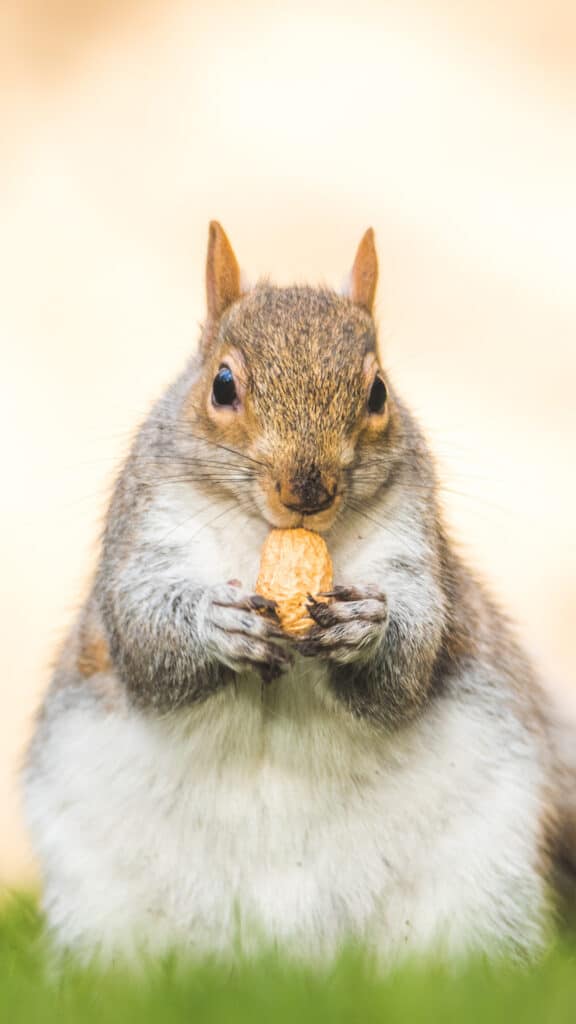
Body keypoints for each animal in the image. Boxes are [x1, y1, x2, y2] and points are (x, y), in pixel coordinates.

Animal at [23, 220, 573, 962]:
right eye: (223, 384)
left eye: (378, 393)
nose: (307, 490)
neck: (266, 533)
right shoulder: (143, 536)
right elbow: (144, 640)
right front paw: (215, 625)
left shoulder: (412, 541)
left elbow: (408, 666)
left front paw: (368, 626)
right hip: (100, 901)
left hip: (481, 879)